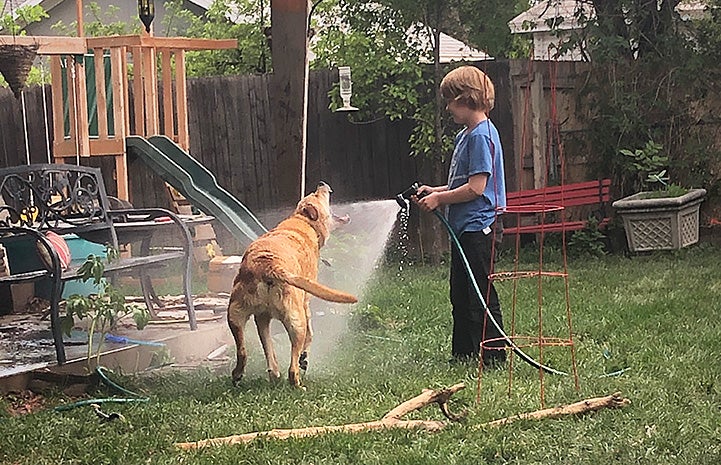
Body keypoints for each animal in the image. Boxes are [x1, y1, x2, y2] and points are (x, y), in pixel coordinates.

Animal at [228, 181, 358, 388]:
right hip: (296, 322)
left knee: (244, 352)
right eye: (316, 194)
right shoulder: (306, 302)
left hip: (235, 315)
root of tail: (269, 266)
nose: (321, 183)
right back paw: (297, 383)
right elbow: (311, 334)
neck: (303, 221)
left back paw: (241, 374)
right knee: (292, 364)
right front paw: (304, 357)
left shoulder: (261, 318)